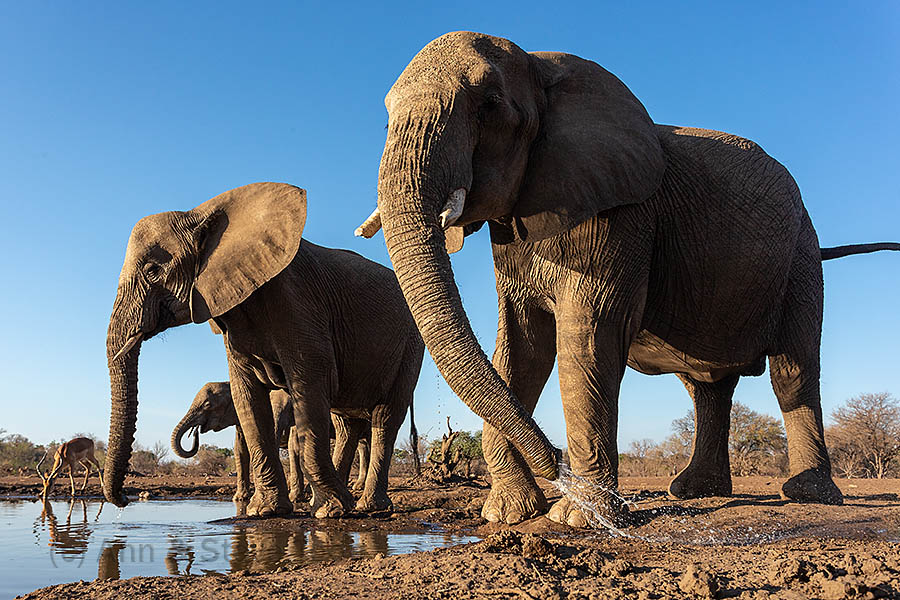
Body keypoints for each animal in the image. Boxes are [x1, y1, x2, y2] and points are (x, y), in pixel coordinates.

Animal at [105, 182, 425, 518]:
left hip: (411, 342)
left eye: (153, 269)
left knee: (386, 418)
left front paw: (328, 510)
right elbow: (248, 398)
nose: (125, 499)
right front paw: (265, 511)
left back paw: (365, 507)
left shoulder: (298, 303)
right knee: (348, 425)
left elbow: (308, 387)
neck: (200, 213)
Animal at [357, 31, 900, 526]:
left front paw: (580, 518)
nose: (557, 466)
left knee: (793, 370)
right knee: (707, 387)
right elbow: (521, 344)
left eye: (489, 106)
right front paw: (508, 514)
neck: (542, 68)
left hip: (800, 257)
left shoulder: (623, 216)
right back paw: (694, 492)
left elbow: (586, 337)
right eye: (384, 116)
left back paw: (808, 495)